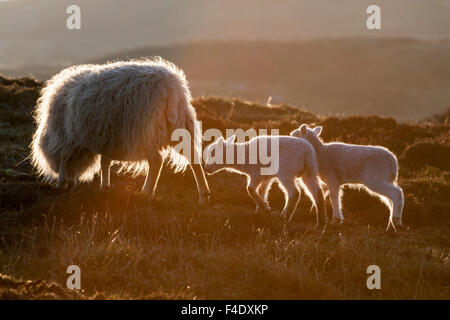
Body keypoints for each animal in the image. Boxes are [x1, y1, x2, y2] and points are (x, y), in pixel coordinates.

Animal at [31, 57, 211, 205]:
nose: (70, 181)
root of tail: (170, 87)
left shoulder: (69, 138)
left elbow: (64, 159)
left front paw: (61, 182)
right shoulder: (106, 139)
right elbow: (105, 162)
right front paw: (104, 186)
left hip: (144, 131)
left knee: (156, 161)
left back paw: (146, 191)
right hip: (180, 127)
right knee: (194, 159)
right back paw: (203, 195)